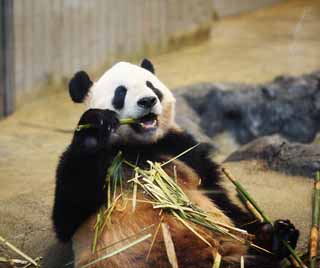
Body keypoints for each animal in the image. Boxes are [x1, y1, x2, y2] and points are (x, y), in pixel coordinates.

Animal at [53, 59, 300, 268]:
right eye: (120, 92)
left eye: (151, 86)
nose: (148, 100)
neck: (140, 145)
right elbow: (68, 212)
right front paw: (95, 127)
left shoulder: (181, 149)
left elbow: (217, 194)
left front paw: (272, 233)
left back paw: (278, 237)